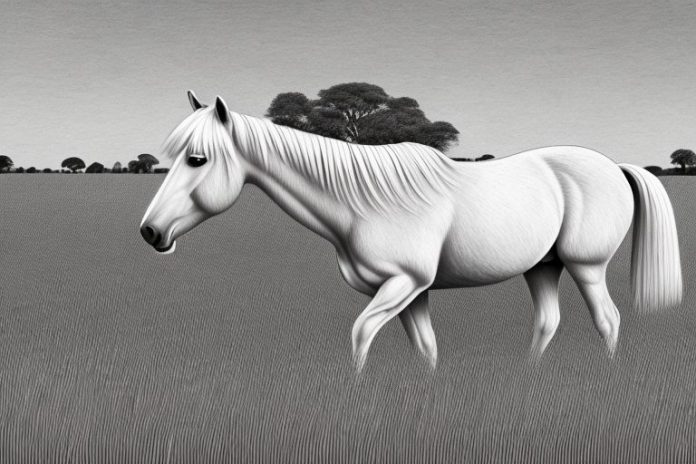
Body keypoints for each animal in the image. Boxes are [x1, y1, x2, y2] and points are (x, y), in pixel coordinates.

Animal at [140, 91, 682, 372]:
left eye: (197, 159)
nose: (150, 233)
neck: (362, 204)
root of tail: (612, 166)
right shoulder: (412, 293)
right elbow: (426, 349)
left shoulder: (402, 285)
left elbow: (360, 336)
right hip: (542, 267)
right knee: (548, 322)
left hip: (586, 266)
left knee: (608, 320)